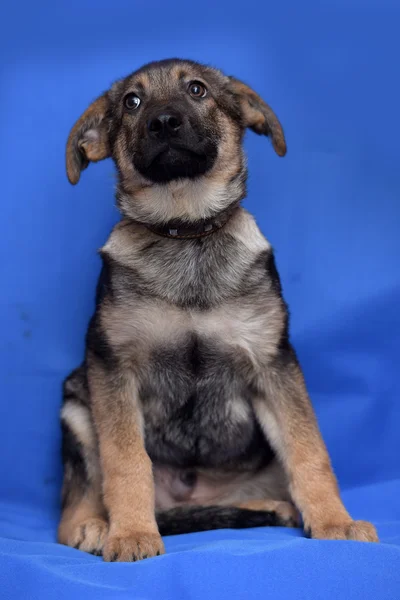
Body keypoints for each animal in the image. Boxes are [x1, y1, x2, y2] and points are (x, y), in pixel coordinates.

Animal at [57, 58, 378, 560]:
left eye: (197, 90)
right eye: (132, 101)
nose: (163, 122)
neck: (187, 231)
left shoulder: (273, 365)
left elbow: (309, 451)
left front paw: (334, 522)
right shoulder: (113, 367)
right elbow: (126, 461)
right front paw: (131, 533)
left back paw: (269, 508)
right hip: (77, 404)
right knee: (76, 501)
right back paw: (94, 526)